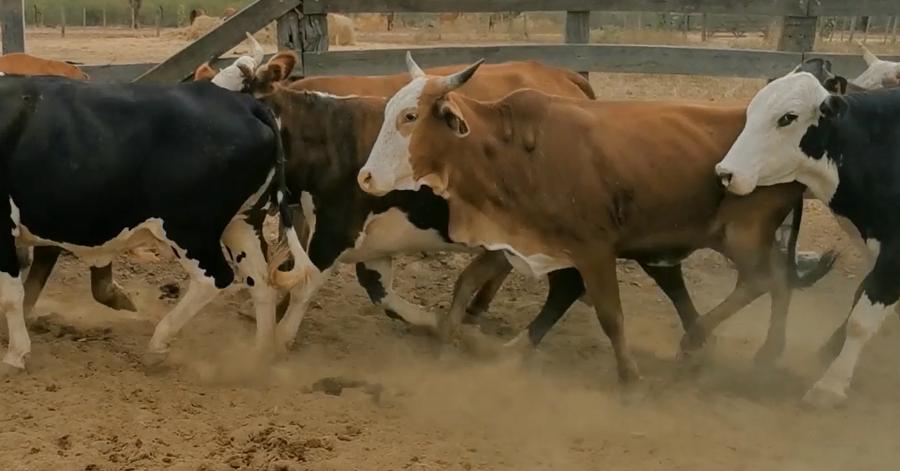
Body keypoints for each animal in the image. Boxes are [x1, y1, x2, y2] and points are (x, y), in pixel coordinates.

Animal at [0, 73, 313, 375]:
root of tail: (243, 103)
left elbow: (12, 296)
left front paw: (14, 356)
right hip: (242, 223)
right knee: (260, 283)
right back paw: (255, 359)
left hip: (189, 231)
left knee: (215, 279)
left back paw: (158, 344)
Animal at [354, 53, 838, 388]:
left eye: (410, 116)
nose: (366, 176)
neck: (511, 151)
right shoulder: (518, 239)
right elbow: (466, 282)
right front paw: (445, 342)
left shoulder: (595, 248)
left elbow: (611, 314)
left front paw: (629, 377)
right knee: (776, 281)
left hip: (741, 234)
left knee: (763, 280)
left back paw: (710, 340)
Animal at [714, 73, 900, 409]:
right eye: (751, 111)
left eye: (788, 118)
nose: (726, 173)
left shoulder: (894, 254)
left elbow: (861, 322)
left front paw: (829, 387)